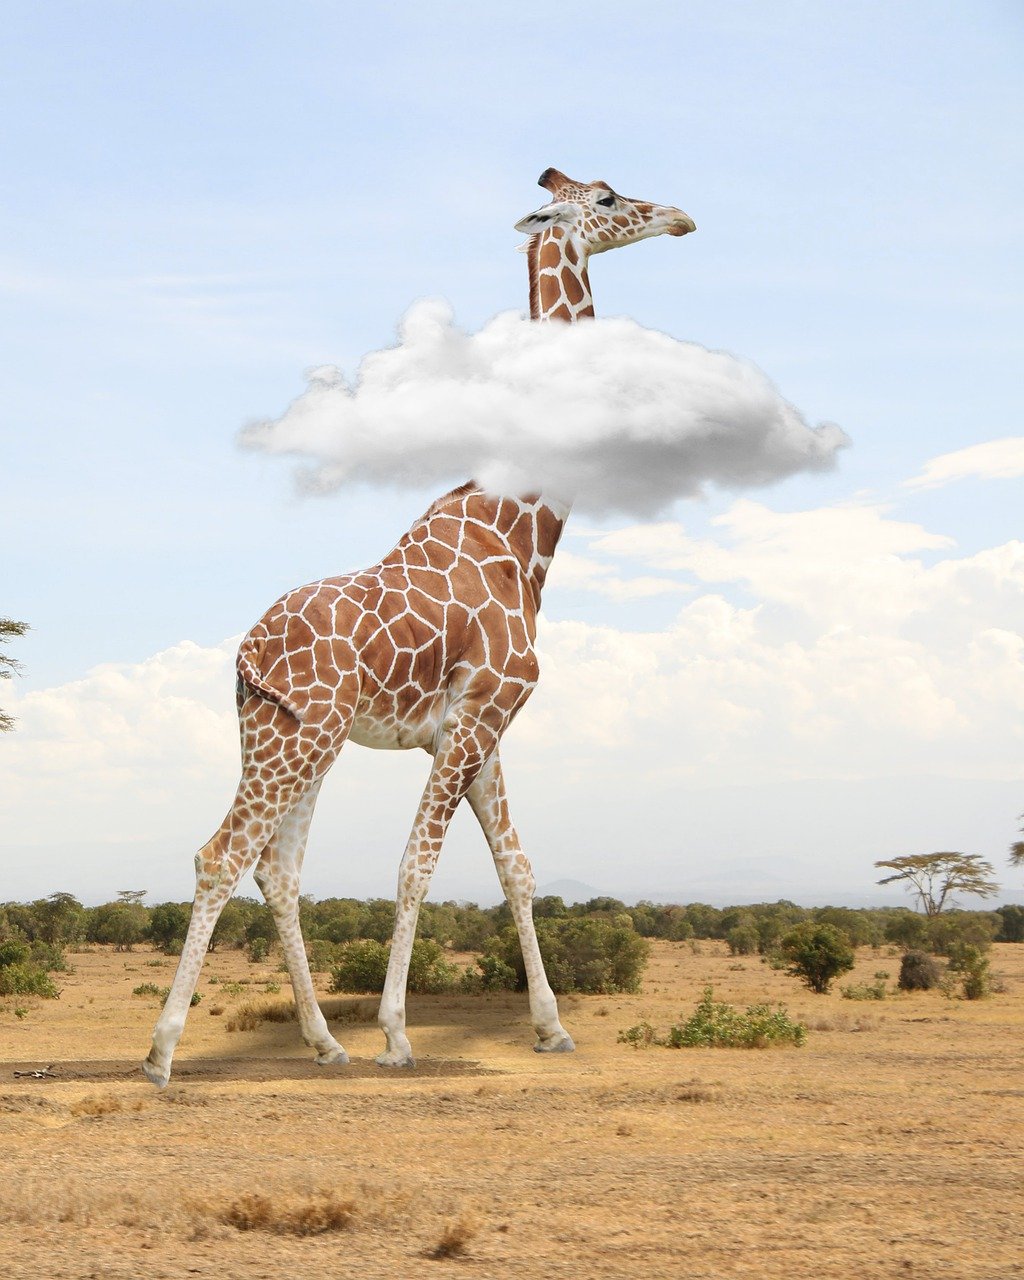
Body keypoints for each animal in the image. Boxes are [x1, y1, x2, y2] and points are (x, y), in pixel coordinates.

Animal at [142, 168, 695, 1087]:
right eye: (610, 198)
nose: (681, 218)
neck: (520, 535)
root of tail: (245, 654)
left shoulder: (480, 728)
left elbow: (517, 868)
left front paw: (551, 1028)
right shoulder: (476, 719)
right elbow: (417, 866)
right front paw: (399, 1035)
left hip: (291, 736)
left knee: (277, 869)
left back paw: (324, 1042)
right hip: (301, 738)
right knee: (223, 854)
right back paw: (162, 1051)